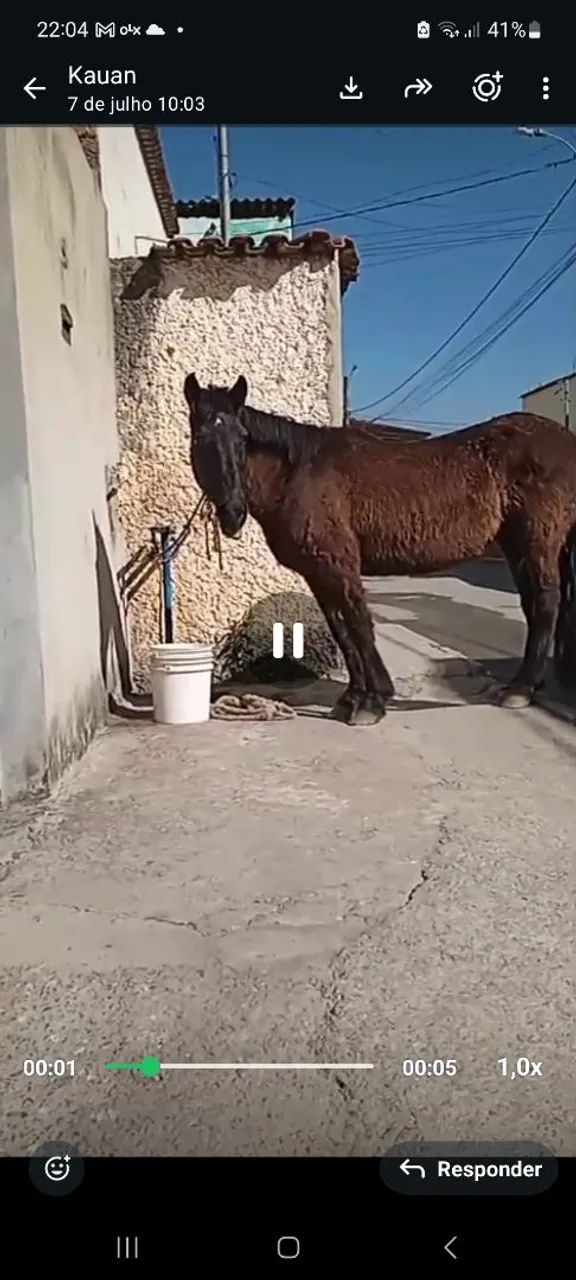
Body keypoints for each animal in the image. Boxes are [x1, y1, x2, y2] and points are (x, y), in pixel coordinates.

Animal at [184, 373, 576, 726]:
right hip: (518, 545)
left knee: (545, 602)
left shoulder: (339, 565)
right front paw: (352, 698)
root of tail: (564, 439)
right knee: (535, 604)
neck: (298, 474)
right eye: (200, 438)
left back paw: (520, 689)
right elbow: (341, 630)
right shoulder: (319, 573)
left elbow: (358, 624)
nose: (233, 513)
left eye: (242, 438)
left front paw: (372, 701)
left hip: (536, 540)